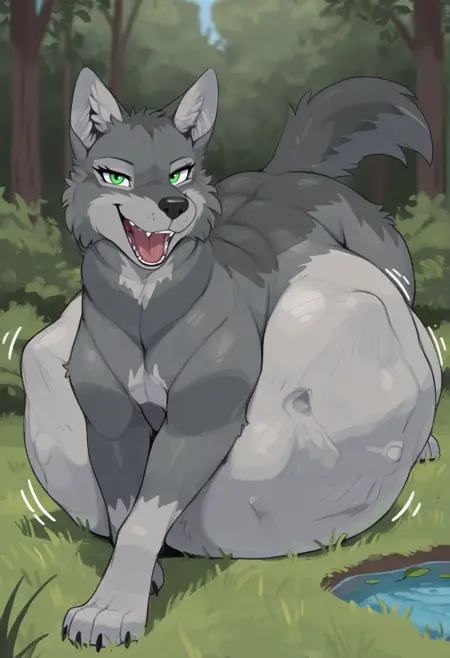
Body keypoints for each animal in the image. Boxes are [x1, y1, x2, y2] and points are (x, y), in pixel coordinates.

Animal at [21, 67, 441, 649]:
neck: (147, 310)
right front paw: (136, 581)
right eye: (117, 177)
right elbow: (125, 510)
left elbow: (145, 517)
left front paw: (112, 609)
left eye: (180, 174)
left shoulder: (201, 422)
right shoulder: (111, 424)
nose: (174, 207)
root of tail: (292, 174)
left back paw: (426, 443)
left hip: (396, 287)